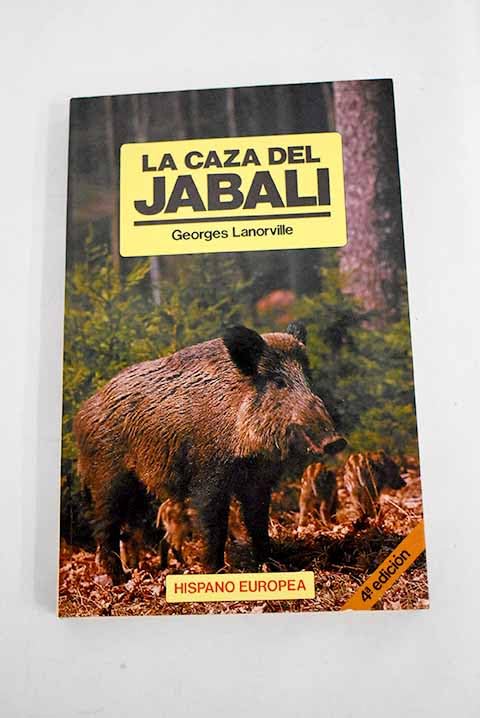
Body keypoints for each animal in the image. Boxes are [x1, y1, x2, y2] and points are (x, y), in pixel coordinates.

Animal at [74, 322, 346, 582]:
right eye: (279, 382)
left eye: (308, 377)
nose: (336, 441)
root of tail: (82, 412)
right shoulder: (209, 476)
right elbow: (214, 525)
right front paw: (215, 571)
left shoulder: (258, 481)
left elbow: (258, 522)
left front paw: (270, 565)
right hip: (107, 476)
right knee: (104, 525)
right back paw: (119, 578)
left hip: (138, 487)